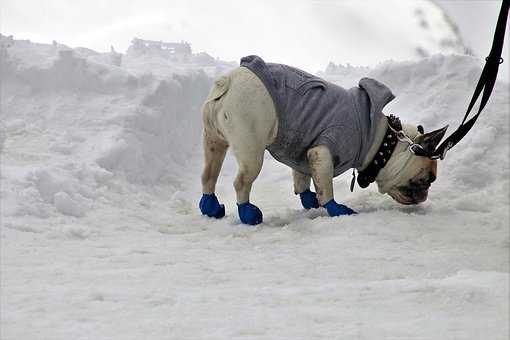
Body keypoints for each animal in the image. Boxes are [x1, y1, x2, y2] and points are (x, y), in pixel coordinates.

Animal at [199, 55, 446, 226]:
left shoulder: (303, 151)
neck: (382, 141)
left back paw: (211, 207)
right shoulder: (322, 152)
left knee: (208, 175)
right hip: (251, 150)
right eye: (425, 180)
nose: (424, 196)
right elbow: (325, 185)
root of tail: (227, 81)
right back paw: (248, 214)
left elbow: (303, 179)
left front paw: (310, 200)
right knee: (241, 182)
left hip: (214, 141)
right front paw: (336, 209)